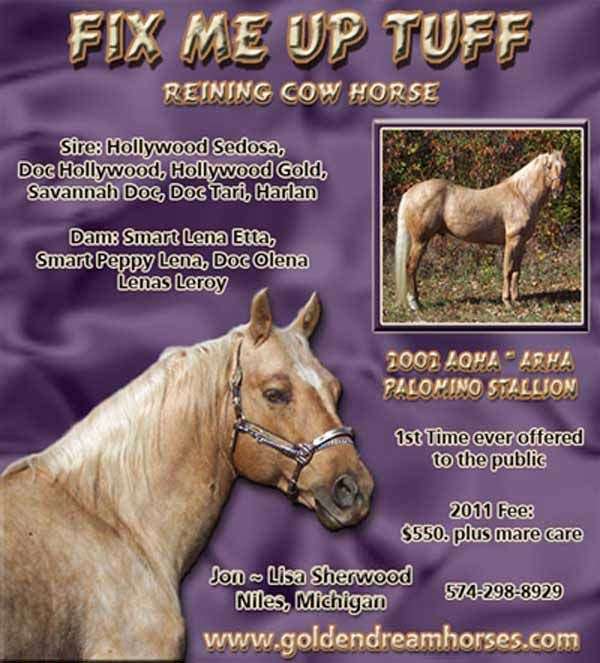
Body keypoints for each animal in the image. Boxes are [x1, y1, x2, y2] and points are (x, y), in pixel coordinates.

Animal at [394, 150, 567, 312]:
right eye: (548, 166)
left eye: (564, 166)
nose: (559, 191)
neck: (521, 195)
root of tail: (409, 193)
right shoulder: (512, 241)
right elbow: (507, 270)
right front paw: (507, 302)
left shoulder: (521, 243)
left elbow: (517, 271)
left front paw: (517, 300)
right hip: (420, 240)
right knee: (411, 267)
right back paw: (415, 304)